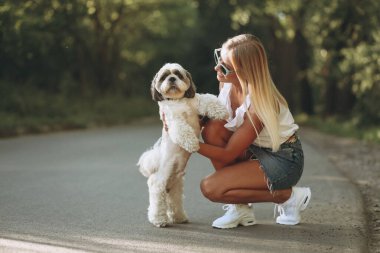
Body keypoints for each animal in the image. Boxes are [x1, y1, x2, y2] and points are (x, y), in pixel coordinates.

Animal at [137, 63, 229, 227]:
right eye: (164, 77)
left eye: (178, 74)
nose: (172, 79)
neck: (178, 101)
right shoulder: (174, 120)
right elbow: (182, 130)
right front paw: (192, 143)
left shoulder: (197, 102)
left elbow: (208, 99)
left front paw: (220, 110)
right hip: (159, 184)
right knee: (157, 200)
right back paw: (159, 220)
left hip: (176, 187)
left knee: (174, 203)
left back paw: (179, 217)